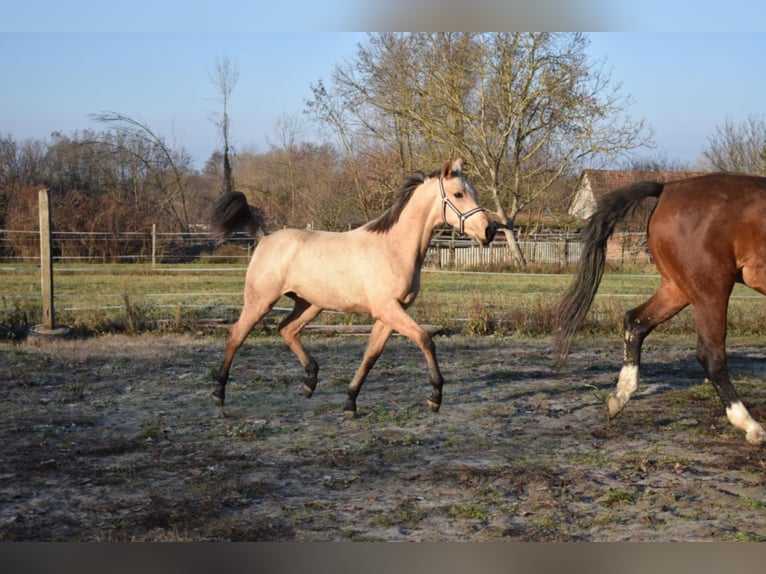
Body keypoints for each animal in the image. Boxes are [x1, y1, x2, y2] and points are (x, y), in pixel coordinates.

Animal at [209, 158, 495, 417]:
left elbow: (371, 355)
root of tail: (264, 238)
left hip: (309, 304)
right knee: (236, 336)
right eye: (458, 194)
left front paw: (350, 402)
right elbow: (425, 339)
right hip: (260, 301)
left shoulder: (389, 314)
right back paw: (218, 394)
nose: (489, 231)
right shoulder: (388, 309)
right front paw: (435, 397)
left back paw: (310, 381)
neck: (394, 248)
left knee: (287, 329)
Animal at [554, 173, 766, 446]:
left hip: (677, 289)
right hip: (711, 290)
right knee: (711, 355)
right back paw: (751, 426)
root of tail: (668, 189)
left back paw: (618, 398)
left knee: (635, 322)